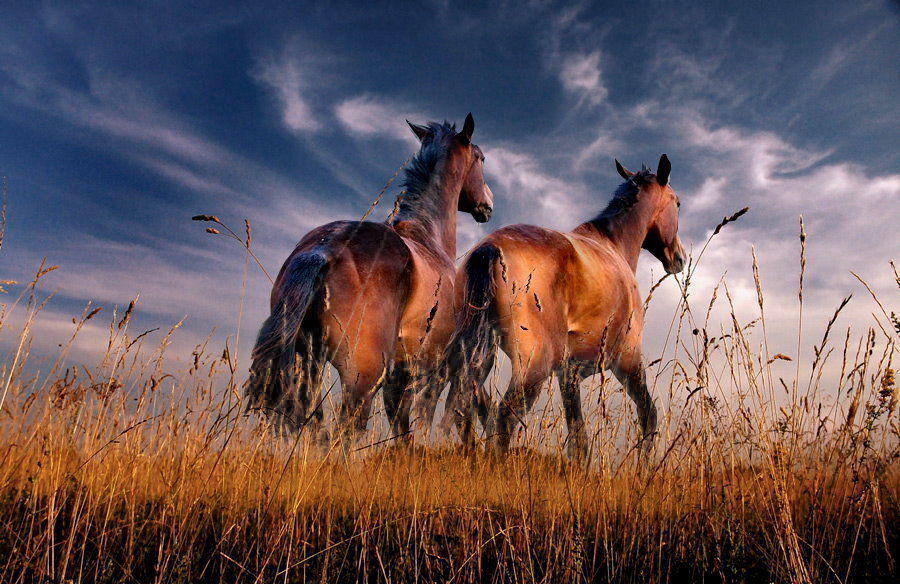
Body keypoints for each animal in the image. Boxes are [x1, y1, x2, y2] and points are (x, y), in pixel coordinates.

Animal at [246, 113, 492, 442]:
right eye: (481, 158)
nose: (488, 204)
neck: (428, 237)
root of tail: (324, 249)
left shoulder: (401, 373)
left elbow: (403, 430)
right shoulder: (432, 366)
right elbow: (422, 423)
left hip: (307, 366)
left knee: (316, 427)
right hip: (362, 376)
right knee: (343, 433)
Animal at [436, 154, 684, 456]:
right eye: (677, 203)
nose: (679, 258)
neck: (613, 247)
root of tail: (489, 248)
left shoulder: (569, 375)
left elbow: (579, 440)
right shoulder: (628, 360)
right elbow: (648, 415)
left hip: (472, 356)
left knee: (472, 411)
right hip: (534, 367)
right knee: (504, 418)